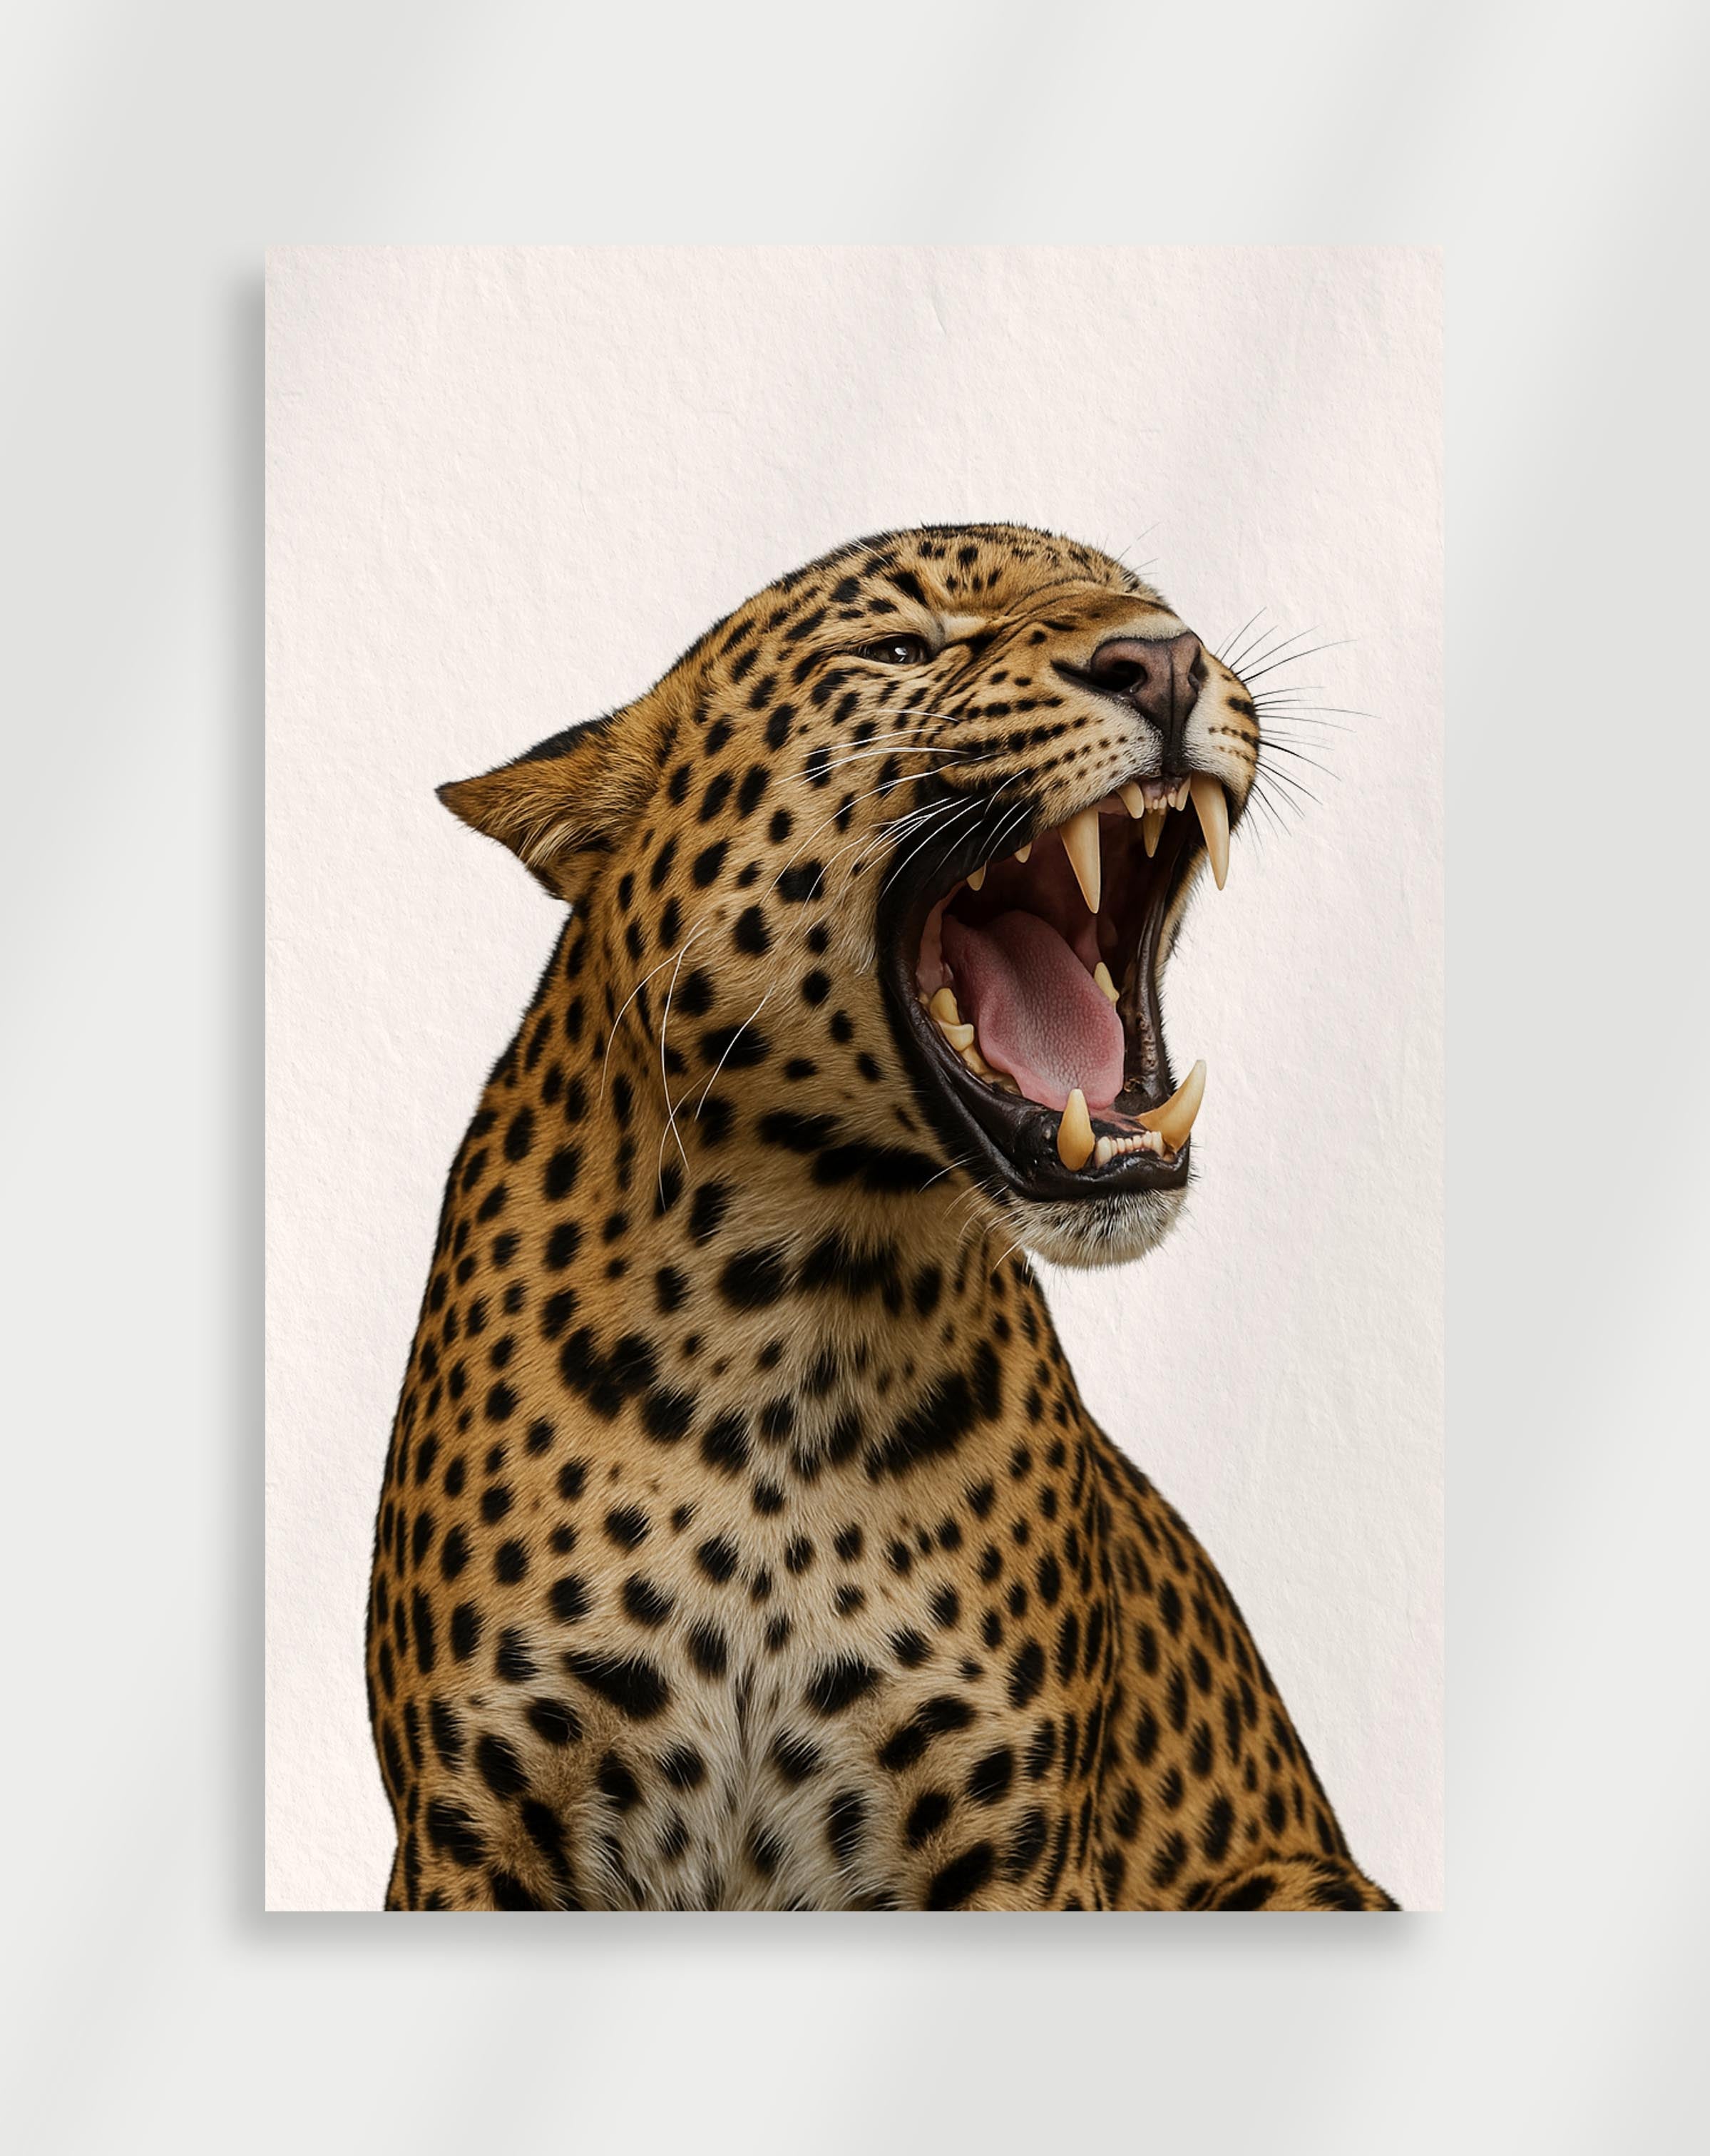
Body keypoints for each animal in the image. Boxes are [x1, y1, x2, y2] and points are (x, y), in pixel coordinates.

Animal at [365, 521, 1398, 1912]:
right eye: (901, 648)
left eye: (1155, 606)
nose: (1166, 660)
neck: (782, 1320)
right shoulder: (473, 1824)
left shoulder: (1013, 1842)